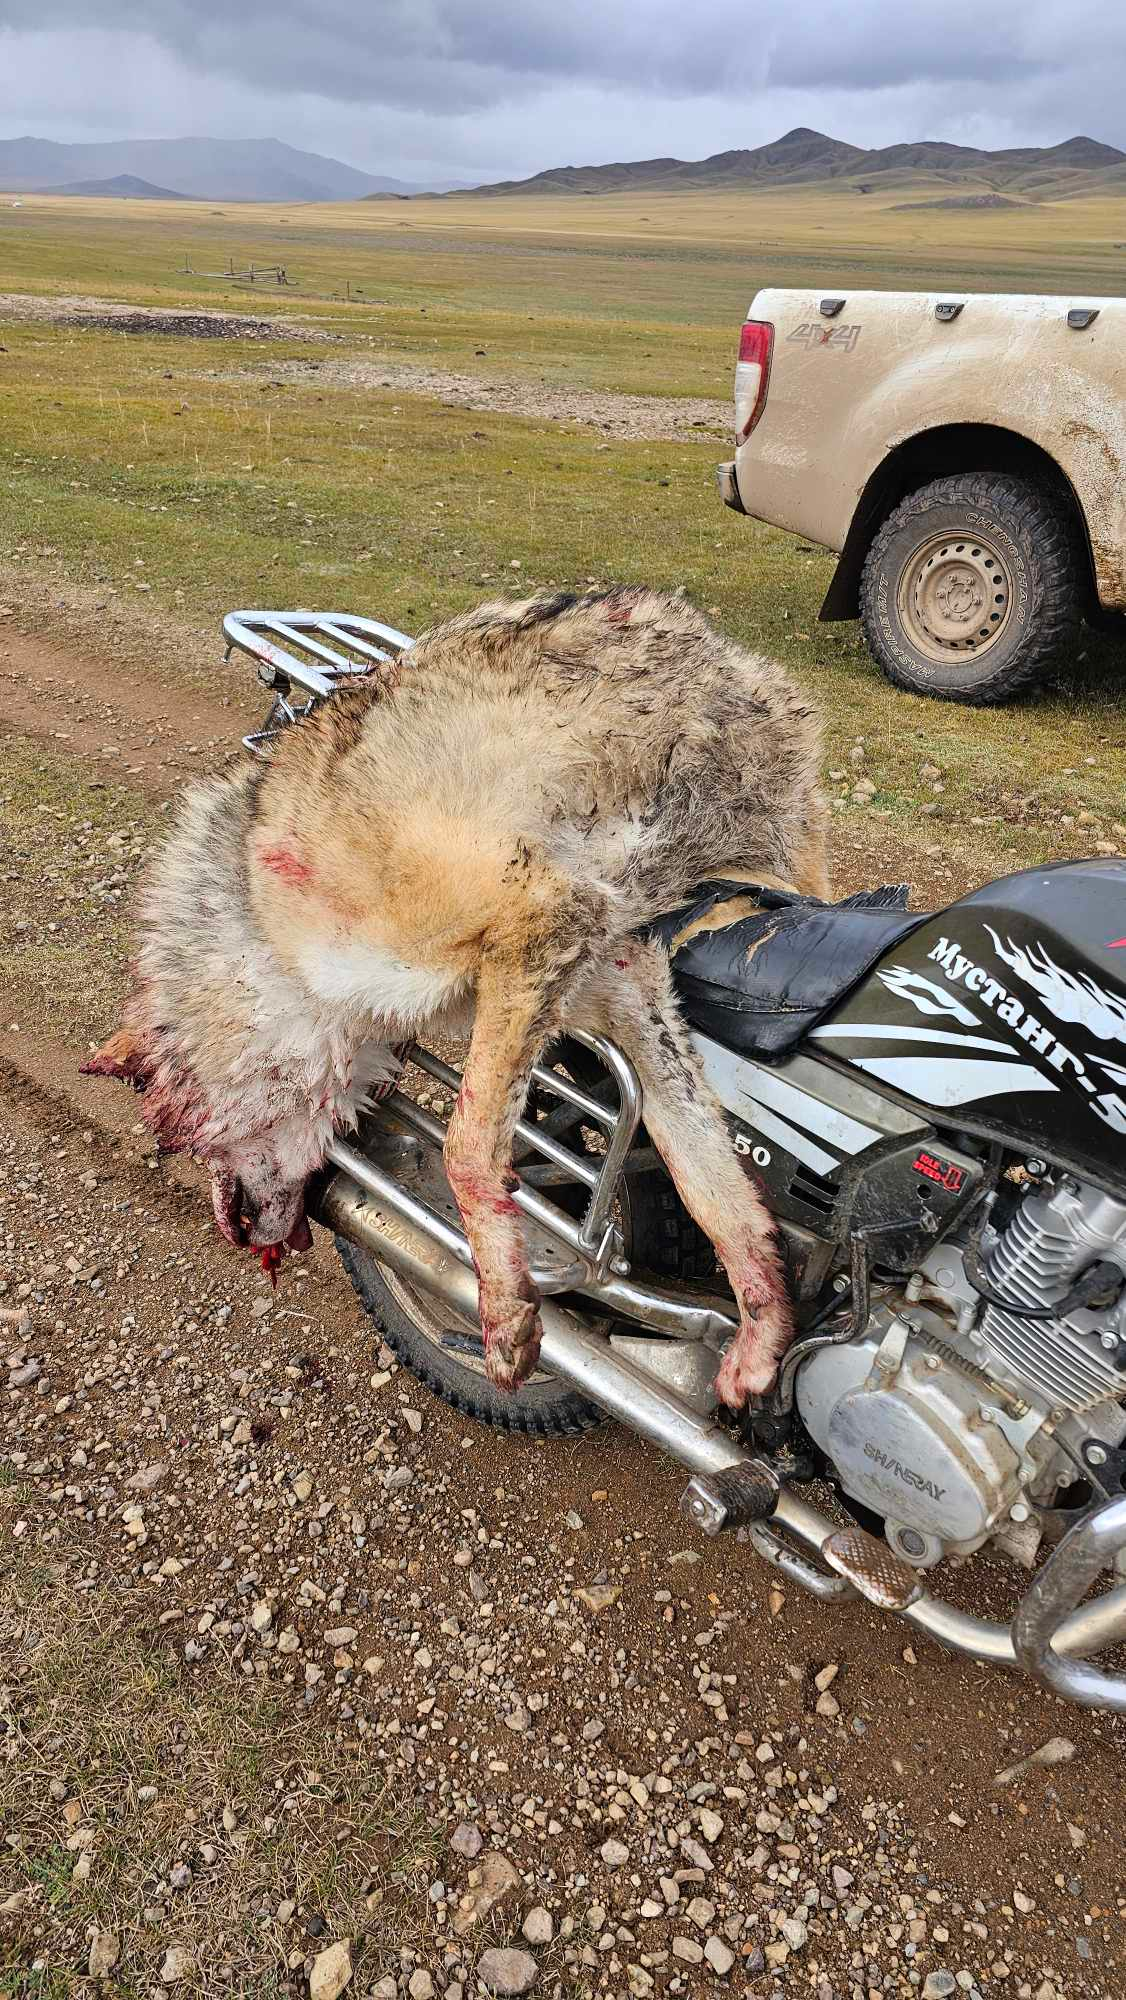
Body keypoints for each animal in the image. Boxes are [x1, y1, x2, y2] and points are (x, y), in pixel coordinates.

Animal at [86, 588, 828, 1408]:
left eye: (184, 1137)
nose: (238, 1235)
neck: (266, 925)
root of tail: (701, 634)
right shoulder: (618, 979)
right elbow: (707, 1181)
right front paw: (760, 1327)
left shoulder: (542, 913)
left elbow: (466, 1149)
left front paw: (505, 1316)